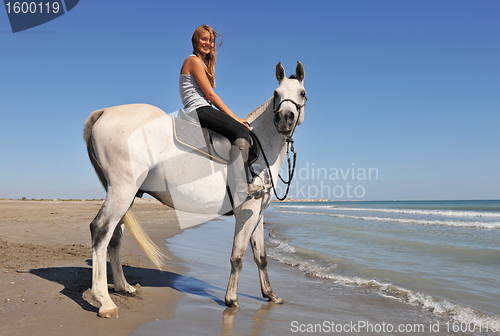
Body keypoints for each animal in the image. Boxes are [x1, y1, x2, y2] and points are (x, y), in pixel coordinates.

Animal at [84, 61, 304, 318]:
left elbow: (261, 256)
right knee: (101, 229)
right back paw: (105, 301)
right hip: (123, 189)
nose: (284, 118)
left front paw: (270, 295)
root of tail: (105, 111)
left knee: (115, 235)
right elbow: (238, 256)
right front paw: (231, 300)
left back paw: (122, 286)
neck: (260, 145)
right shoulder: (245, 212)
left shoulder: (257, 214)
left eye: (302, 93)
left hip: (125, 195)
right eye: (276, 94)